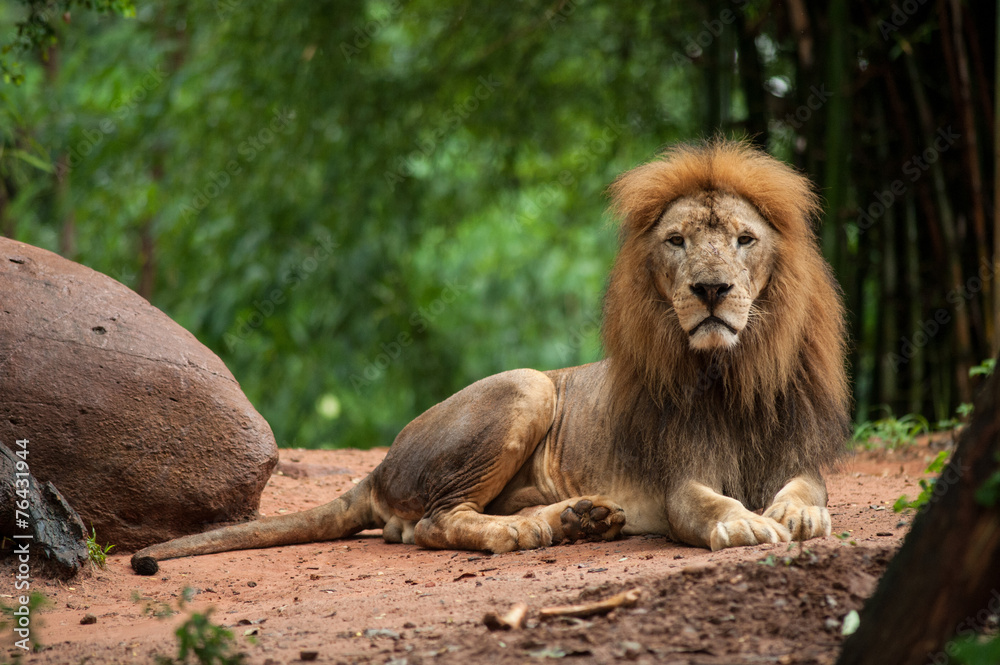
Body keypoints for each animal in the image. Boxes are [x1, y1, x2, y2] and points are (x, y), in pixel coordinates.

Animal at [131, 139, 849, 575]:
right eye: (676, 241)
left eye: (744, 239)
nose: (711, 289)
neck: (728, 372)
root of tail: (380, 466)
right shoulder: (677, 479)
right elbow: (704, 504)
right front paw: (745, 523)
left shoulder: (796, 448)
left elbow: (807, 486)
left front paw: (795, 512)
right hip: (529, 385)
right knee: (429, 524)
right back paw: (525, 533)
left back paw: (578, 517)